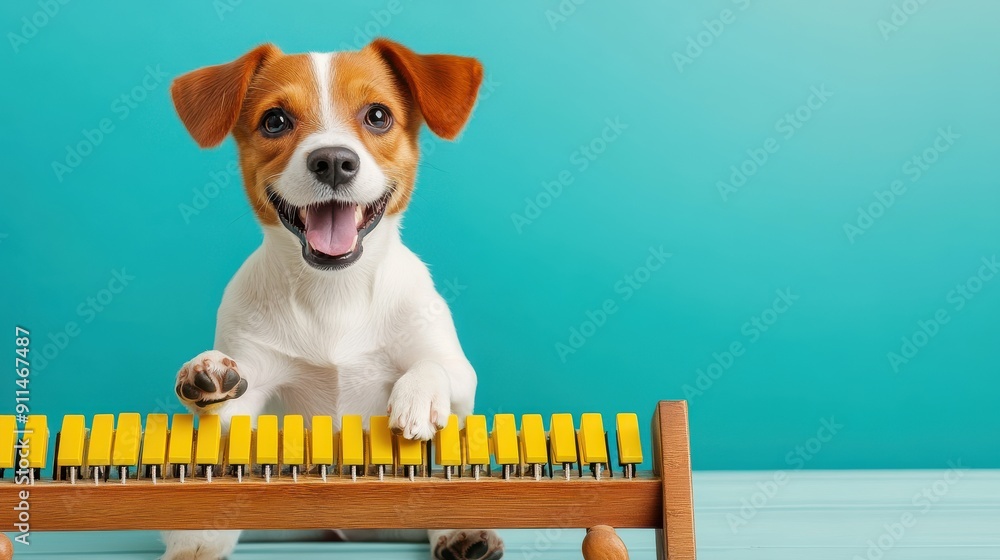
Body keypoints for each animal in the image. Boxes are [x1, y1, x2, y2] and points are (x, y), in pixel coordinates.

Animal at [167, 39, 504, 560]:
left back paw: (463, 532)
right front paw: (208, 373)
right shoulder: (251, 395)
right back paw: (194, 541)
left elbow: (436, 369)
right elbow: (224, 413)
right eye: (275, 121)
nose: (331, 161)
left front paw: (418, 395)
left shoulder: (458, 374)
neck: (334, 292)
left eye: (378, 115)